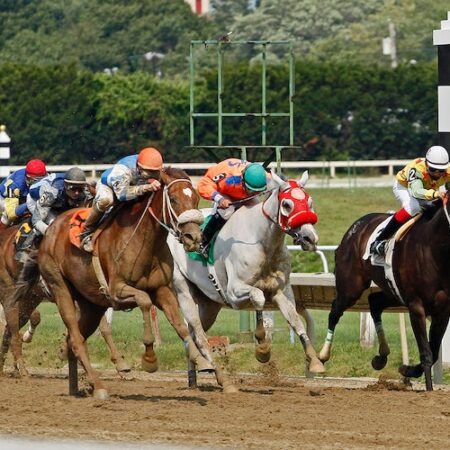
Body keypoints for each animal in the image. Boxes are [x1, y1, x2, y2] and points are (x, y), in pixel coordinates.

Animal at [14, 167, 207, 400]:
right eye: (174, 199)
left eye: (195, 198)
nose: (193, 237)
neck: (143, 241)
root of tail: (49, 232)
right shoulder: (117, 290)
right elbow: (144, 301)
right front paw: (149, 359)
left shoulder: (162, 290)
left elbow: (181, 325)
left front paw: (201, 359)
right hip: (61, 289)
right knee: (76, 339)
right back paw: (98, 386)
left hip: (91, 304)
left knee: (73, 340)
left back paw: (77, 387)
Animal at [167, 171, 326, 392]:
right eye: (287, 204)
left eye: (309, 202)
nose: (310, 238)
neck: (262, 241)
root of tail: (175, 232)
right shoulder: (234, 292)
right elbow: (258, 297)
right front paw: (262, 348)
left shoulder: (281, 290)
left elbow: (295, 320)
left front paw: (315, 361)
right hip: (184, 291)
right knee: (199, 335)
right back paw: (221, 379)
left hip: (209, 304)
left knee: (192, 333)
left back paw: (195, 376)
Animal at [318, 198, 450, 390]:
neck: (434, 249)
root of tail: (354, 228)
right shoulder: (416, 306)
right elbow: (426, 353)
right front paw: (429, 389)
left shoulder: (443, 310)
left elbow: (433, 352)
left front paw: (408, 370)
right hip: (350, 288)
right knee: (335, 311)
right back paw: (321, 356)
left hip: (393, 293)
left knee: (374, 301)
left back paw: (381, 356)